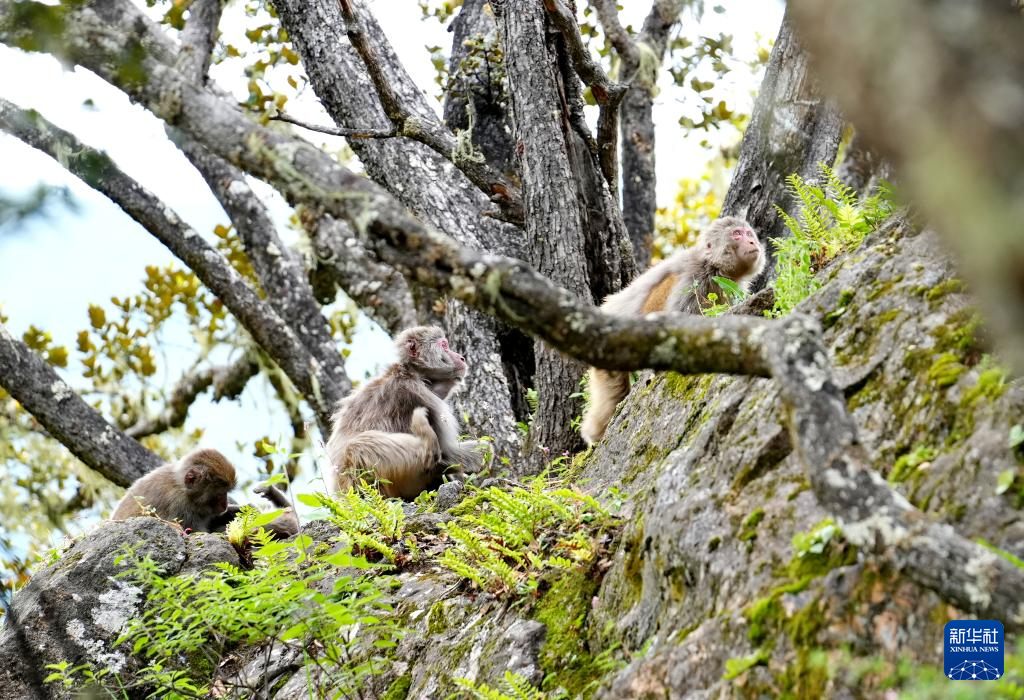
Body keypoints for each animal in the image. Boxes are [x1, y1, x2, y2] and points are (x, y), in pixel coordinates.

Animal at [327, 325, 483, 499]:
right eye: (444, 346)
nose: (462, 358)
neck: (414, 373)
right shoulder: (422, 396)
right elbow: (448, 452)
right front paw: (483, 454)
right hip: (368, 484)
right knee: (357, 446)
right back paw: (427, 443)